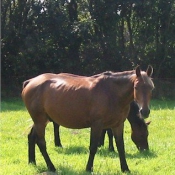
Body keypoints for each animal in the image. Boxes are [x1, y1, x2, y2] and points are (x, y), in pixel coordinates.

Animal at [22, 65, 154, 172]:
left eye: (151, 87)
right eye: (136, 87)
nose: (145, 111)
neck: (111, 93)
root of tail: (30, 82)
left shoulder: (118, 124)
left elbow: (120, 146)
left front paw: (125, 168)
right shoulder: (97, 124)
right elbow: (93, 146)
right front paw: (89, 168)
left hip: (40, 120)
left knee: (31, 137)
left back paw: (32, 161)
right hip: (40, 120)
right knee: (41, 142)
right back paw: (51, 166)